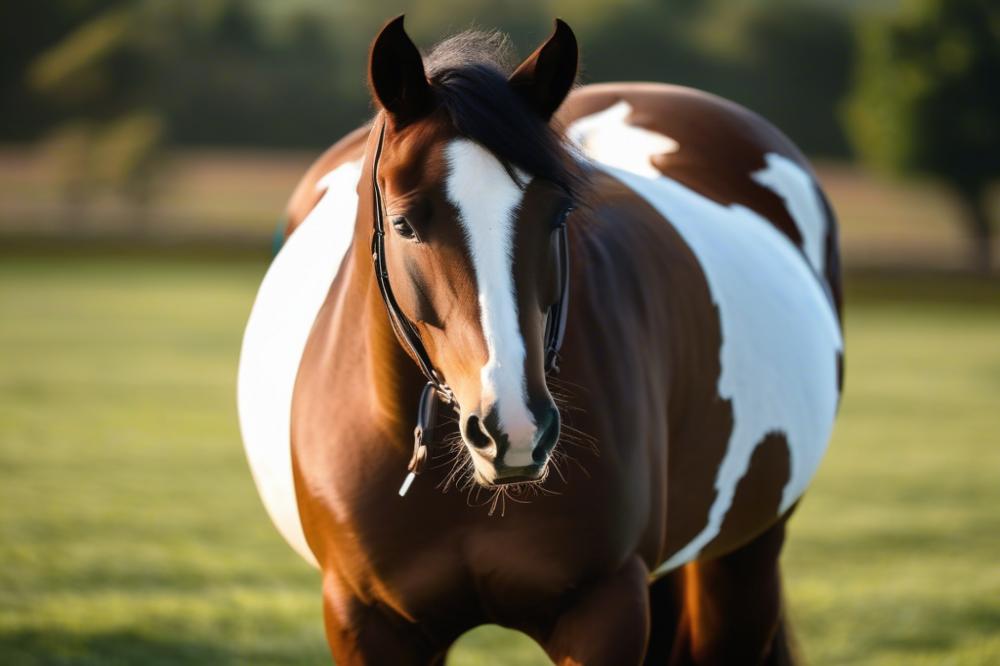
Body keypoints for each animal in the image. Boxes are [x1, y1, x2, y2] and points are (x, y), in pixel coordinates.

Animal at [236, 15, 844, 664]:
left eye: (557, 215)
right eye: (403, 223)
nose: (514, 429)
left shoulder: (604, 608)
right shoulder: (365, 621)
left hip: (746, 556)